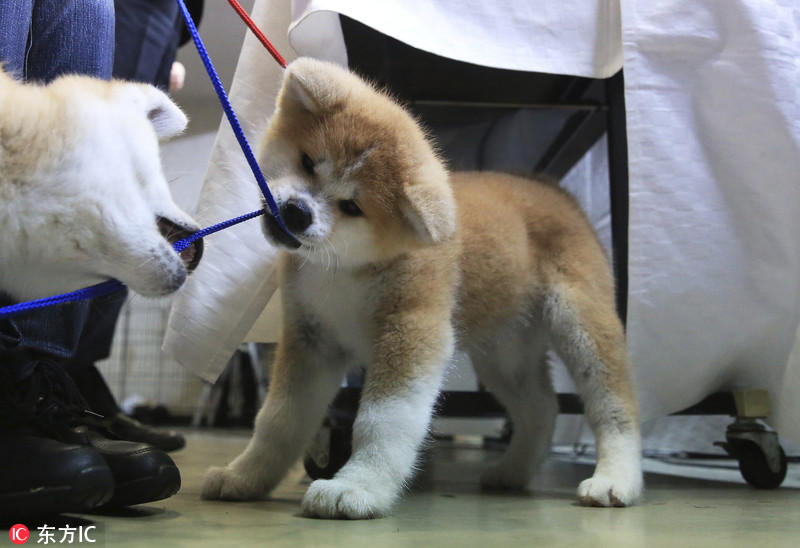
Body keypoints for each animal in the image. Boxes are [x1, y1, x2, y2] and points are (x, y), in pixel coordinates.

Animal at [202, 58, 644, 520]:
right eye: (308, 161)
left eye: (352, 207)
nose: (296, 212)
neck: (346, 269)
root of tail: (552, 188)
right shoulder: (311, 339)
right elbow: (278, 419)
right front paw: (246, 475)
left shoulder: (412, 332)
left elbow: (383, 419)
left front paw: (359, 485)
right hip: (505, 352)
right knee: (541, 407)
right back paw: (515, 470)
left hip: (582, 325)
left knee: (614, 406)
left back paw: (616, 479)